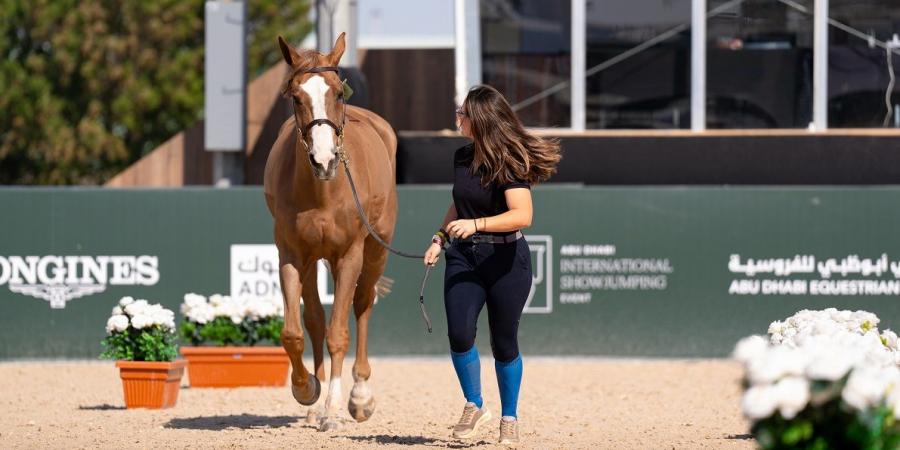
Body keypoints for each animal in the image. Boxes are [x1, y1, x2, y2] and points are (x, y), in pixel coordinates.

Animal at [264, 32, 398, 432]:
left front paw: (335, 409)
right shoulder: (291, 256)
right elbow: (295, 332)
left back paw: (359, 396)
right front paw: (307, 389)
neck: (322, 192)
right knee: (315, 321)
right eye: (296, 97)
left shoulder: (350, 255)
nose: (324, 161)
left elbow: (340, 334)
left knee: (362, 305)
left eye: (339, 93)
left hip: (374, 252)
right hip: (314, 262)